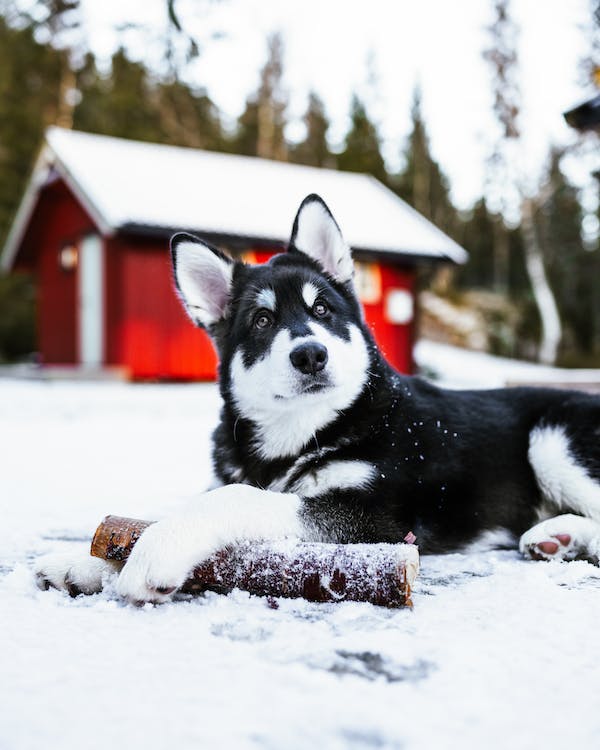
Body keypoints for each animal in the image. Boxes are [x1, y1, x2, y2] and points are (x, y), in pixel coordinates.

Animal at [36, 195, 600, 604]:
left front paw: (156, 552)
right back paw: (557, 536)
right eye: (262, 320)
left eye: (323, 309)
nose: (310, 354)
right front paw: (84, 563)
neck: (304, 433)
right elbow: (158, 514)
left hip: (554, 439)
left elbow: (238, 498)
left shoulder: (376, 518)